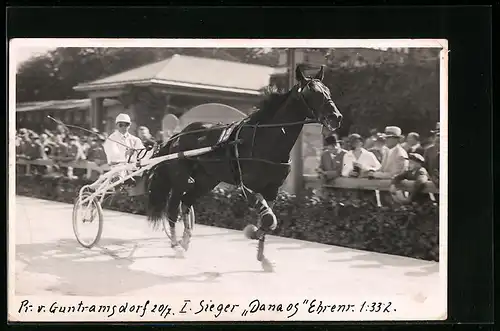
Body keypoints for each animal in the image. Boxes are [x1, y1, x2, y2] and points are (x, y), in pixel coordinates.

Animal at [145, 64, 340, 270]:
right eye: (313, 92)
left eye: (327, 91)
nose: (336, 117)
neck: (266, 140)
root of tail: (177, 135)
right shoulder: (247, 186)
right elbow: (268, 219)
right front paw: (252, 233)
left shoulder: (272, 189)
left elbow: (268, 220)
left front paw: (262, 257)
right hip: (181, 177)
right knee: (173, 208)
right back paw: (176, 246)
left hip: (207, 180)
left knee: (187, 200)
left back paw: (184, 241)